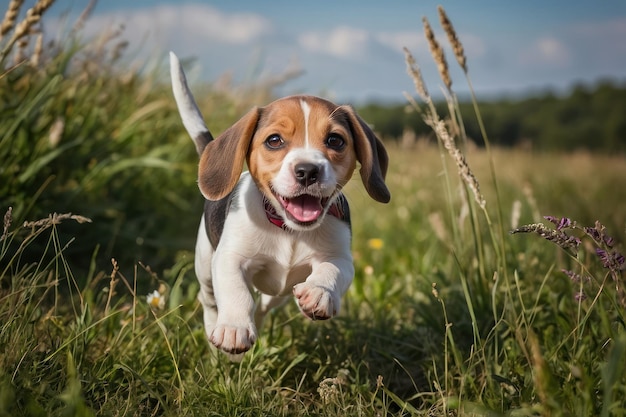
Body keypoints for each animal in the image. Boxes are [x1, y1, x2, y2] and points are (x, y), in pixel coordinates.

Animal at [168, 52, 388, 356]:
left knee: (263, 304)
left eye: (335, 140)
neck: (289, 230)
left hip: (279, 294)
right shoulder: (229, 257)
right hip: (205, 264)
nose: (307, 171)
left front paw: (319, 293)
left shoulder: (340, 256)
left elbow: (332, 270)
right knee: (210, 300)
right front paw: (234, 328)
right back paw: (217, 339)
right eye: (274, 140)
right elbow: (236, 291)